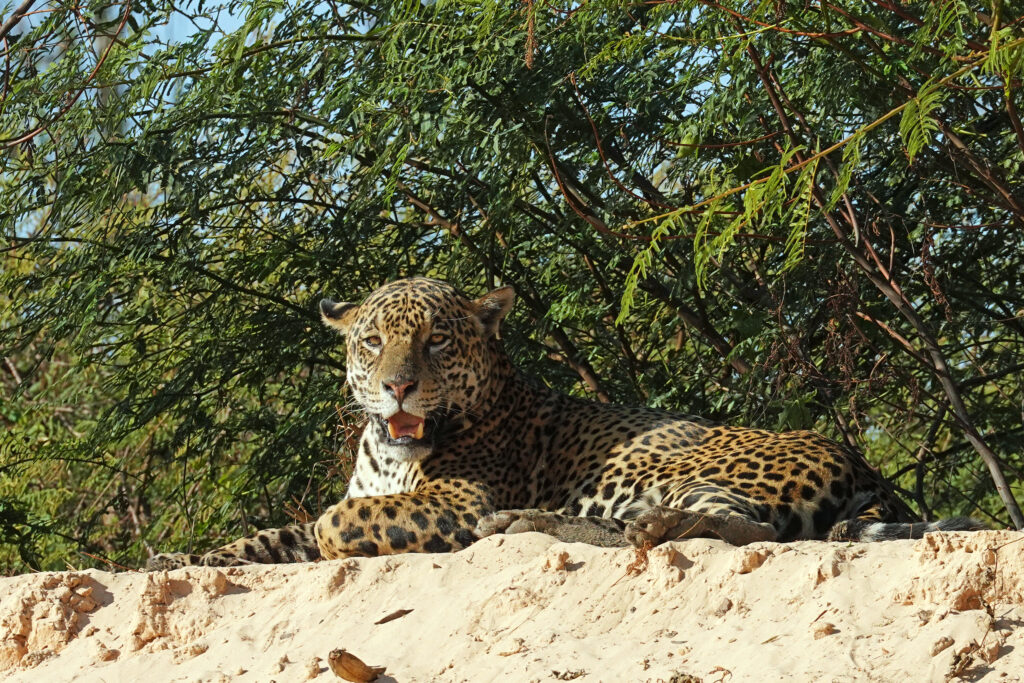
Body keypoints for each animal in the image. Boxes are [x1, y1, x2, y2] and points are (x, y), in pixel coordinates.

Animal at [146, 277, 984, 570]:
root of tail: (864, 462)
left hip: (673, 462)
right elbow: (266, 535)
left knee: (744, 526)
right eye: (372, 340)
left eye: (437, 340)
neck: (387, 451)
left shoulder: (456, 497)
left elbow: (331, 522)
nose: (398, 388)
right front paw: (183, 559)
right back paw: (527, 523)